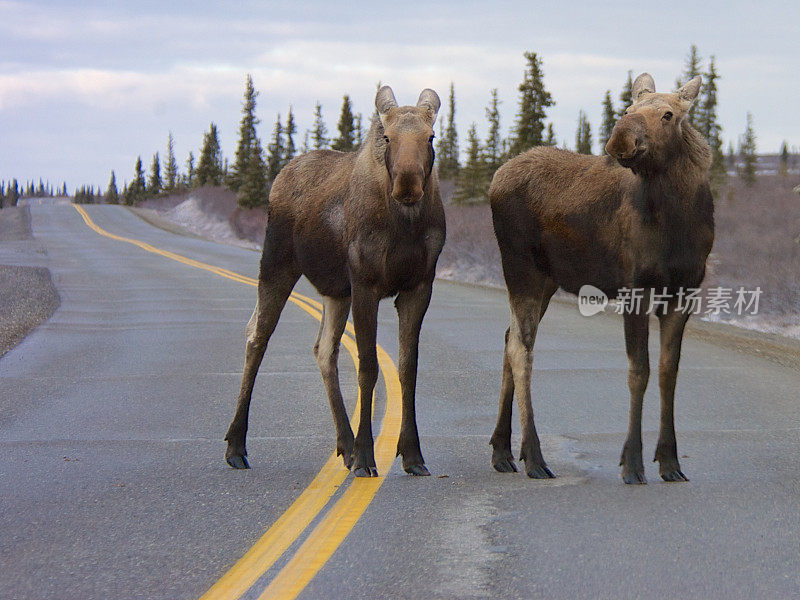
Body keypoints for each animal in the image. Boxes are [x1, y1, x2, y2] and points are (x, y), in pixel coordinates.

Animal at [225, 85, 446, 478]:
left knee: (323, 349)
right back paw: (236, 445)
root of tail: (280, 176)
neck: (405, 224)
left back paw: (344, 444)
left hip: (334, 291)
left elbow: (408, 368)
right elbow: (369, 366)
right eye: (387, 136)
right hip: (277, 263)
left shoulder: (418, 287)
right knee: (257, 336)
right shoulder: (365, 284)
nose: (407, 183)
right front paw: (367, 457)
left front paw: (412, 455)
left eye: (431, 136)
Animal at [490, 74, 716, 482]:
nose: (621, 138)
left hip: (546, 280)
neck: (679, 223)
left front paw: (670, 461)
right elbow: (639, 370)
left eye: (668, 114)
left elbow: (668, 372)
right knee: (520, 349)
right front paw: (633, 462)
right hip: (521, 270)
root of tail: (494, 179)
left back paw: (502, 451)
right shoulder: (635, 287)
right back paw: (534, 456)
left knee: (508, 339)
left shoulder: (683, 293)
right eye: (628, 109)